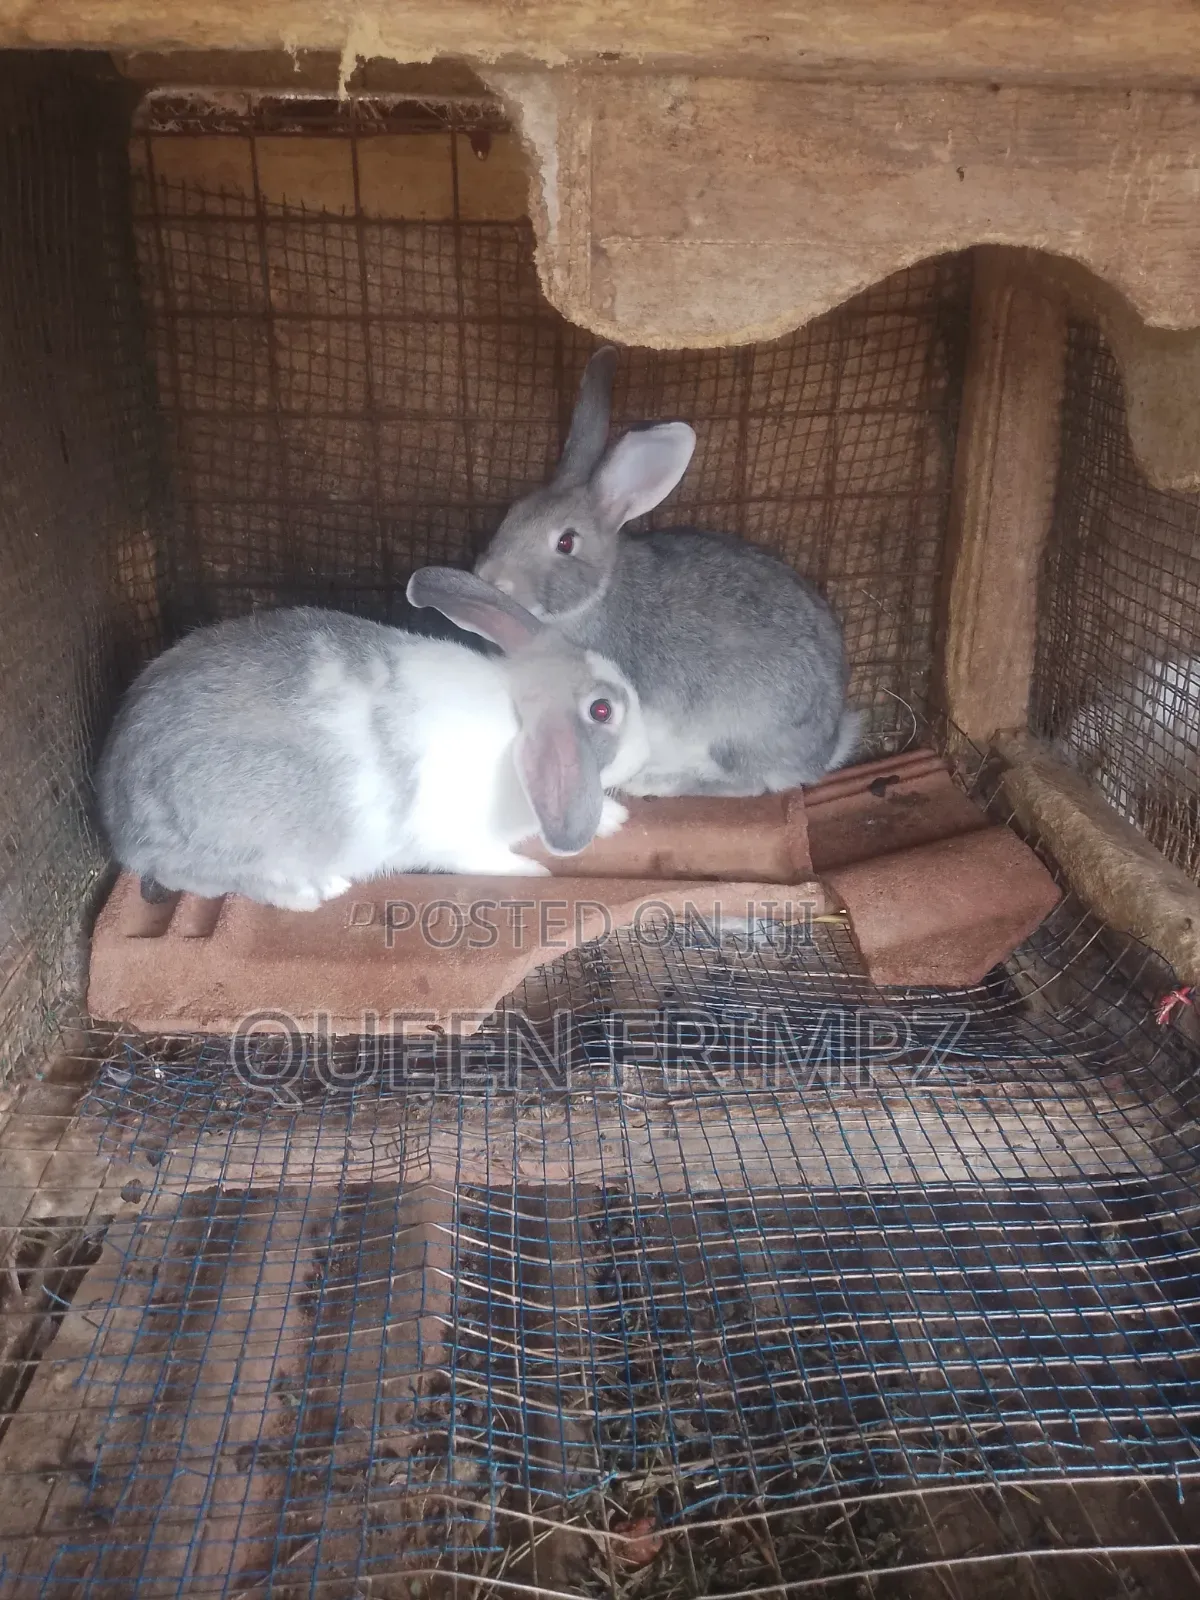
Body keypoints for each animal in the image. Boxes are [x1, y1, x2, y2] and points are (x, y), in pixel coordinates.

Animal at [95, 568, 648, 910]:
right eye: (603, 710)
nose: (646, 743)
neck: (518, 717)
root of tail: (121, 822)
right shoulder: (461, 843)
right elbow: (487, 861)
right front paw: (533, 874)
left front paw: (612, 818)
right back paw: (313, 891)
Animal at [474, 345, 861, 798]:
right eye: (511, 514)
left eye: (566, 542)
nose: (490, 578)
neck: (594, 600)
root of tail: (825, 751)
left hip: (734, 733)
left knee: (747, 785)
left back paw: (656, 783)